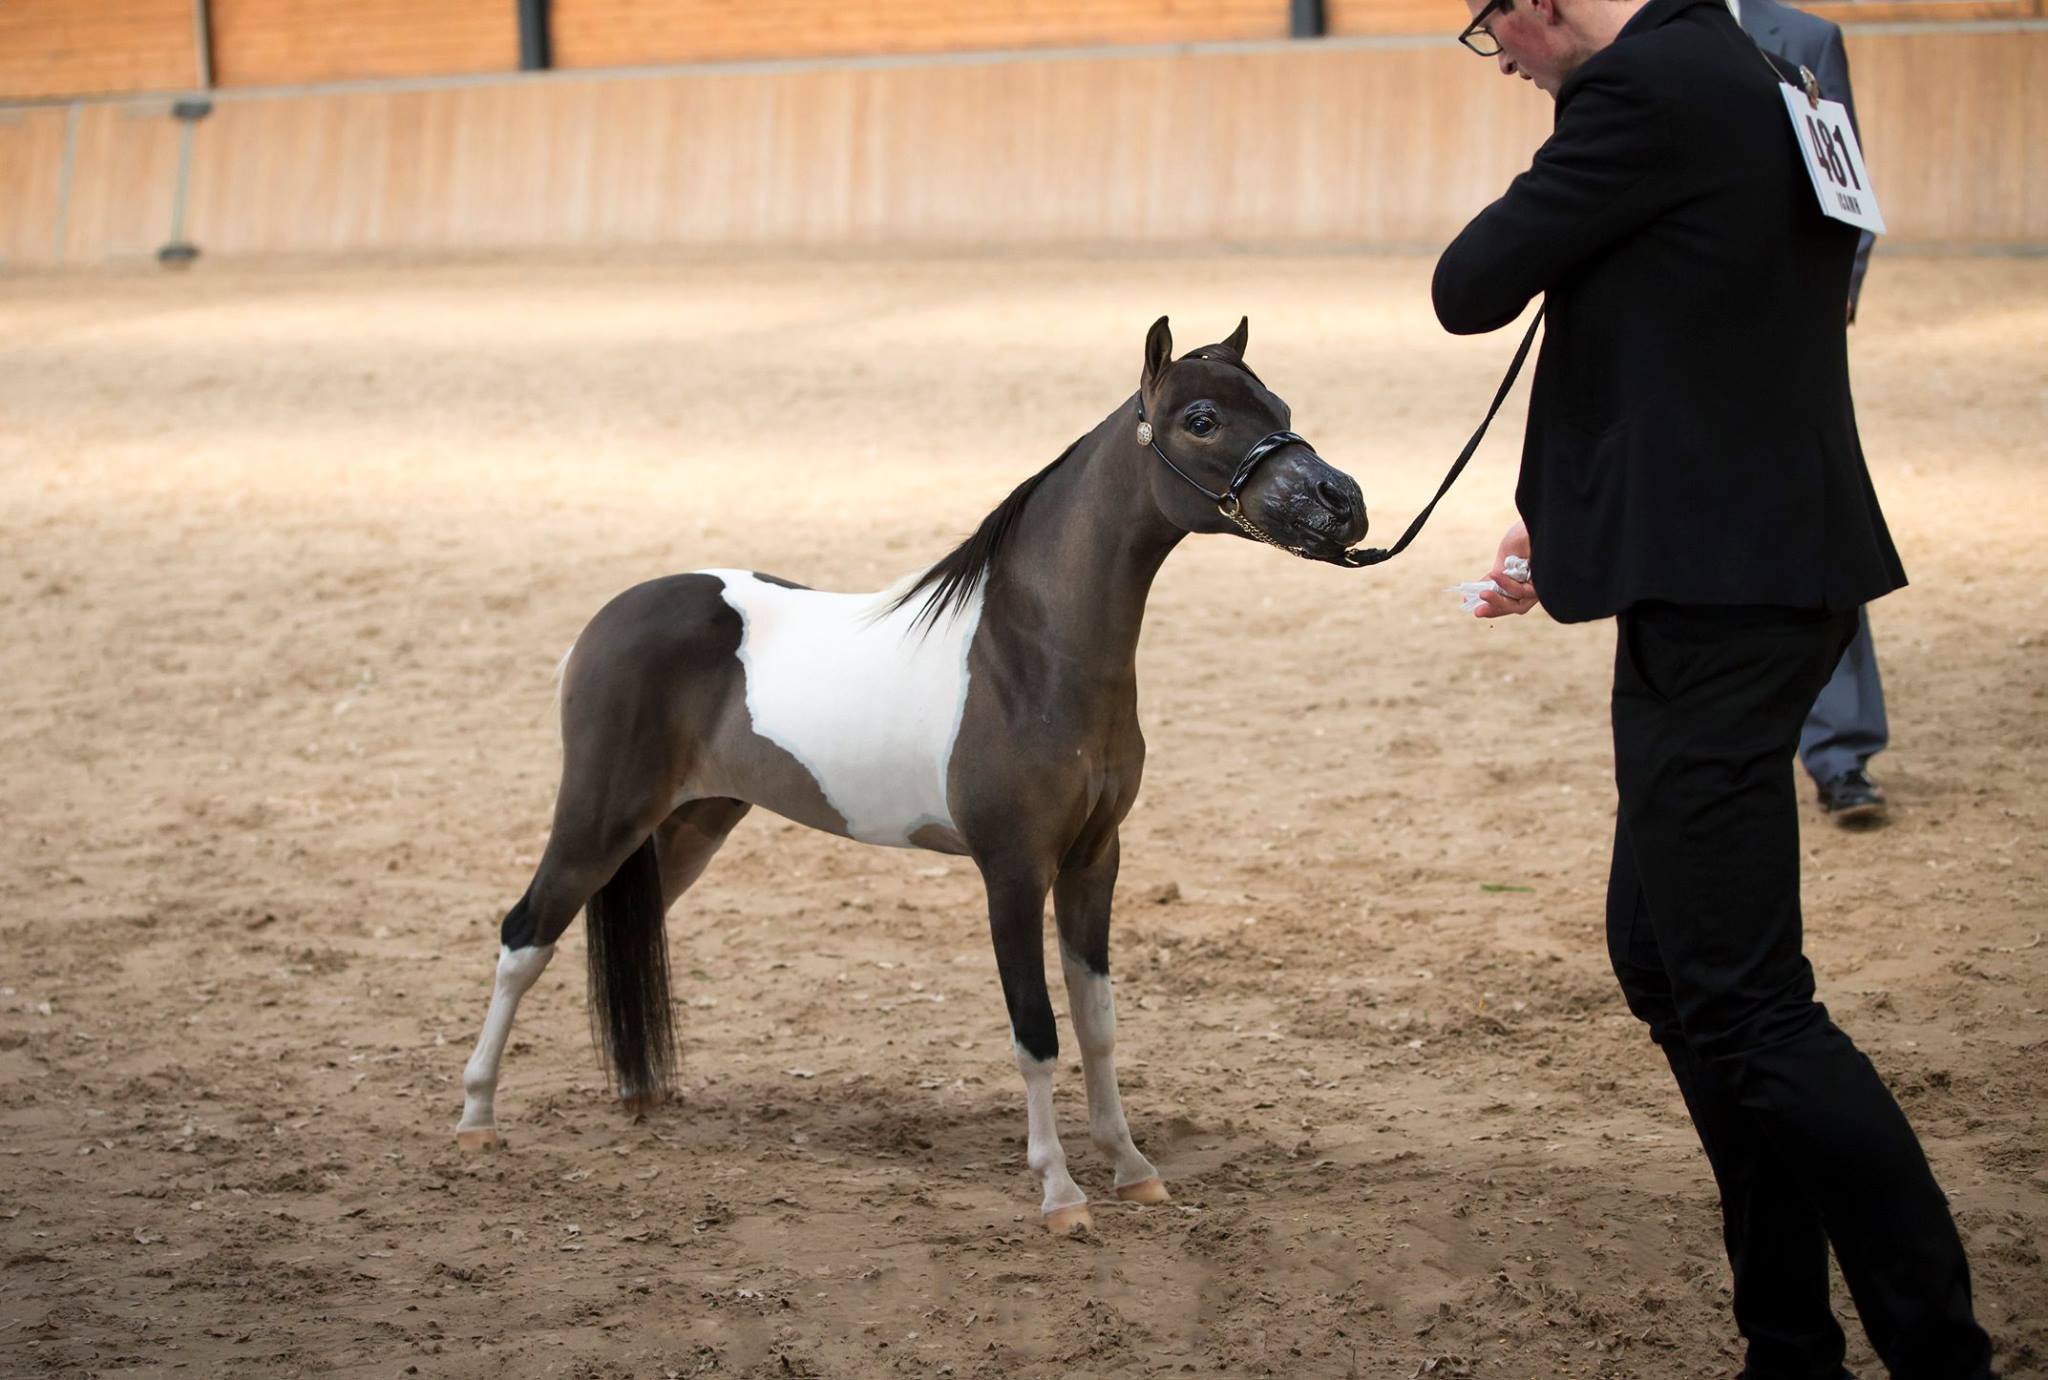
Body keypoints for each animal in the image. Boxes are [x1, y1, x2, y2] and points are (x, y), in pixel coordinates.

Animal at [454, 316, 1369, 1232]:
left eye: (1282, 408)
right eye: (1203, 420)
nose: (1342, 503)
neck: (1029, 655)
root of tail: (608, 619)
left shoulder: (1093, 861)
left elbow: (1098, 1024)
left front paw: (1132, 1167)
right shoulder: (1013, 870)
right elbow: (1036, 1030)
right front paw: (1060, 1192)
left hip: (690, 823)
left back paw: (637, 1095)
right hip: (599, 817)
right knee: (524, 934)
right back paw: (477, 1118)